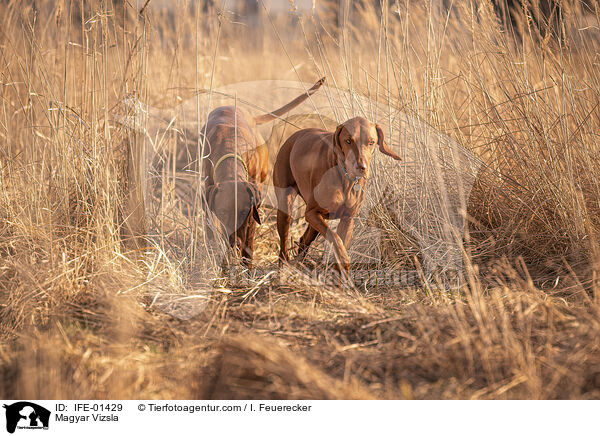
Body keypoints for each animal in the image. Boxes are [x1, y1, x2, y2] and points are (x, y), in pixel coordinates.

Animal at [202, 77, 324, 266]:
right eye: (222, 212)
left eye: (243, 213)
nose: (236, 244)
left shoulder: (253, 204)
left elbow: (250, 237)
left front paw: (247, 265)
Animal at [274, 116, 400, 276]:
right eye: (348, 141)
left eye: (371, 142)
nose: (361, 168)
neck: (345, 178)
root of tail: (293, 137)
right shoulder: (312, 213)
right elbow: (336, 239)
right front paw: (343, 260)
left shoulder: (347, 219)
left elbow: (340, 242)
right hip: (286, 207)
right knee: (283, 245)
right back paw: (282, 269)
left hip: (315, 222)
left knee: (304, 240)